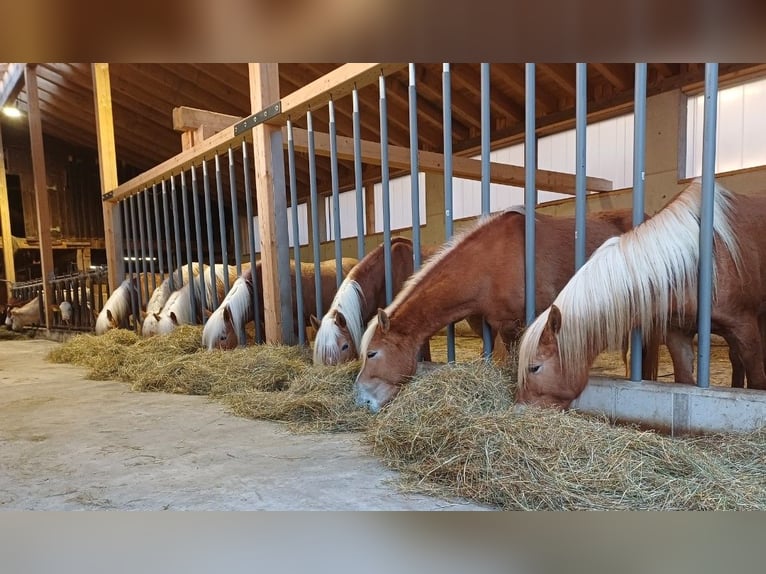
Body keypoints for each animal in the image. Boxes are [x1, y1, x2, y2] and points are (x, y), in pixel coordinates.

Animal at [516, 180, 766, 410]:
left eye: (534, 368)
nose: (521, 408)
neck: (693, 264)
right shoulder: (678, 336)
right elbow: (684, 379)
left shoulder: (744, 329)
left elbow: (756, 381)